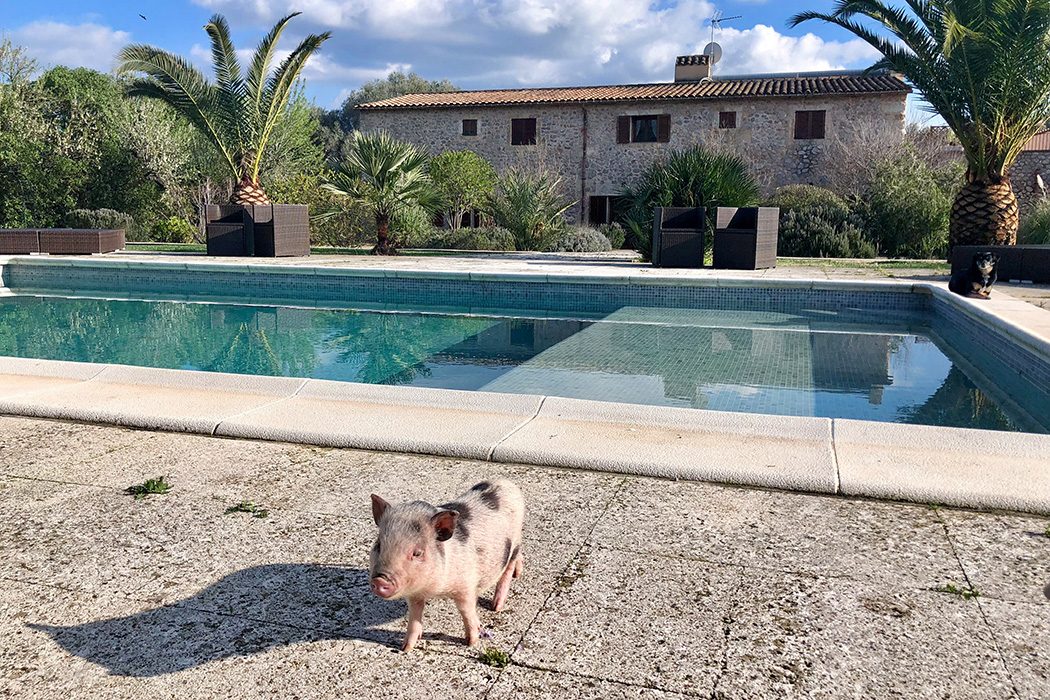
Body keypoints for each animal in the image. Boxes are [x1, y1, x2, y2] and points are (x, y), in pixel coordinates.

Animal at [368, 479, 525, 652]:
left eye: (417, 553)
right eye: (379, 545)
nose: (380, 580)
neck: (436, 589)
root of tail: (507, 483)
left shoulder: (466, 585)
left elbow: (466, 611)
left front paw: (471, 642)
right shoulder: (414, 594)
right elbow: (415, 615)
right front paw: (406, 648)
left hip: (514, 542)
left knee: (508, 569)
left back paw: (496, 606)